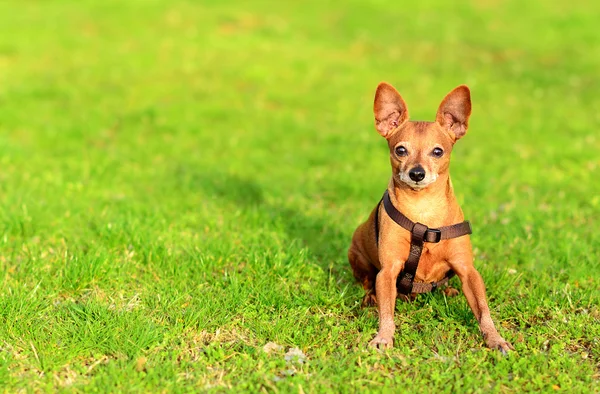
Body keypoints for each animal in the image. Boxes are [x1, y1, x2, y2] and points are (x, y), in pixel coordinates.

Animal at [346, 81, 510, 352]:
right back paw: (371, 298)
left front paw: (495, 338)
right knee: (368, 282)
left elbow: (483, 310)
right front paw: (384, 337)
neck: (423, 210)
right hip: (357, 253)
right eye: (401, 150)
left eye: (438, 152)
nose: (417, 173)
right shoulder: (388, 271)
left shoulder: (468, 270)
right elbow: (387, 311)